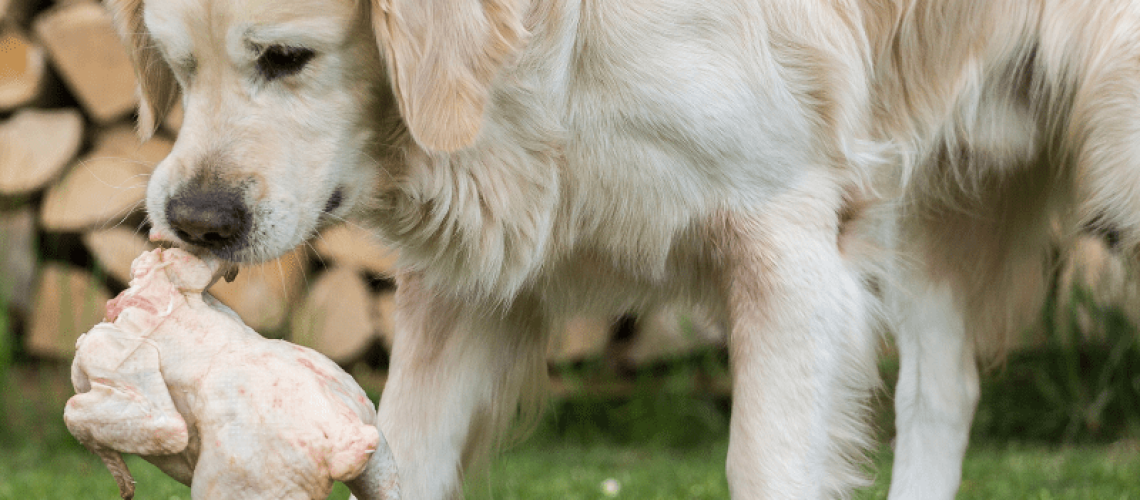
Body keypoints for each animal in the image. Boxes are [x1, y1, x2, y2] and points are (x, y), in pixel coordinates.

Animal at [107, 0, 1140, 498]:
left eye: (287, 58)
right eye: (177, 68)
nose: (194, 220)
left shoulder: (790, 247)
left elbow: (765, 465)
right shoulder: (470, 280)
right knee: (945, 388)